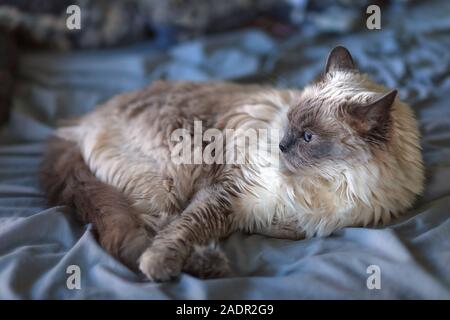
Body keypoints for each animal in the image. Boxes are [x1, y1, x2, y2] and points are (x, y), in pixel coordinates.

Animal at [40, 46, 424, 282]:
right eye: (290, 124)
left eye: (308, 137)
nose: (282, 145)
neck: (323, 185)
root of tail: (79, 122)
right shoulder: (227, 195)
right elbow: (181, 230)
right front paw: (161, 262)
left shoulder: (304, 222)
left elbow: (285, 229)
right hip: (173, 174)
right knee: (143, 231)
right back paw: (202, 265)